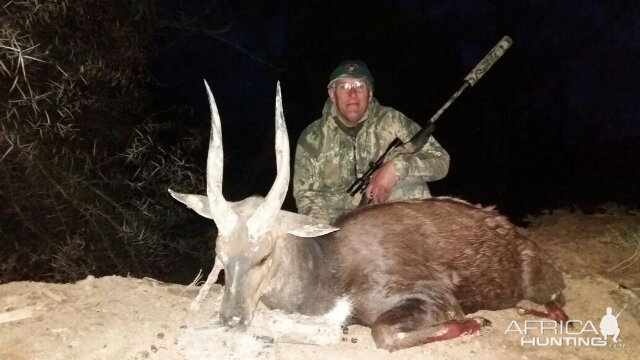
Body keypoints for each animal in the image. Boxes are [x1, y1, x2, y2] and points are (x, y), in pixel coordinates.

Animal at [168, 81, 568, 352]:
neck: (328, 266)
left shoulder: (431, 296)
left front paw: (476, 321)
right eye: (220, 255)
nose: (231, 318)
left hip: (544, 286)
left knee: (560, 307)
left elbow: (383, 333)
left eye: (263, 256)